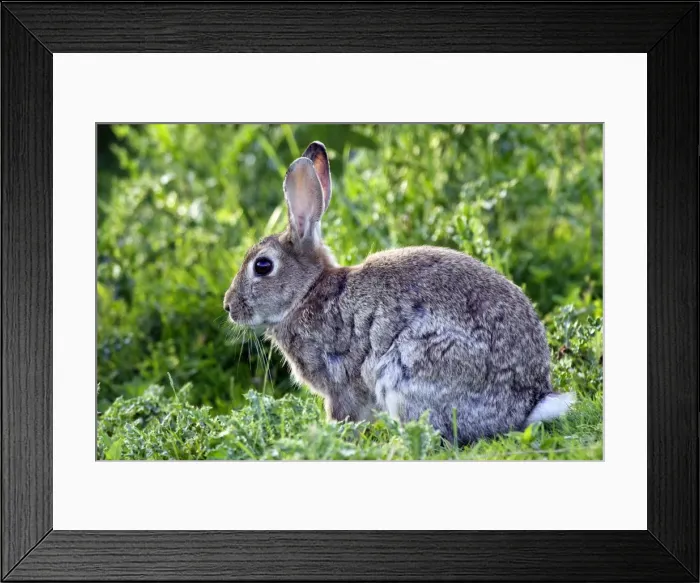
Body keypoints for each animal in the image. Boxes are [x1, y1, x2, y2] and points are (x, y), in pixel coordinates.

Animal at [223, 141, 576, 444]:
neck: (307, 292)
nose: (229, 306)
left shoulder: (340, 384)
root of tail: (527, 403)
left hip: (409, 372)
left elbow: (343, 417)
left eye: (263, 266)